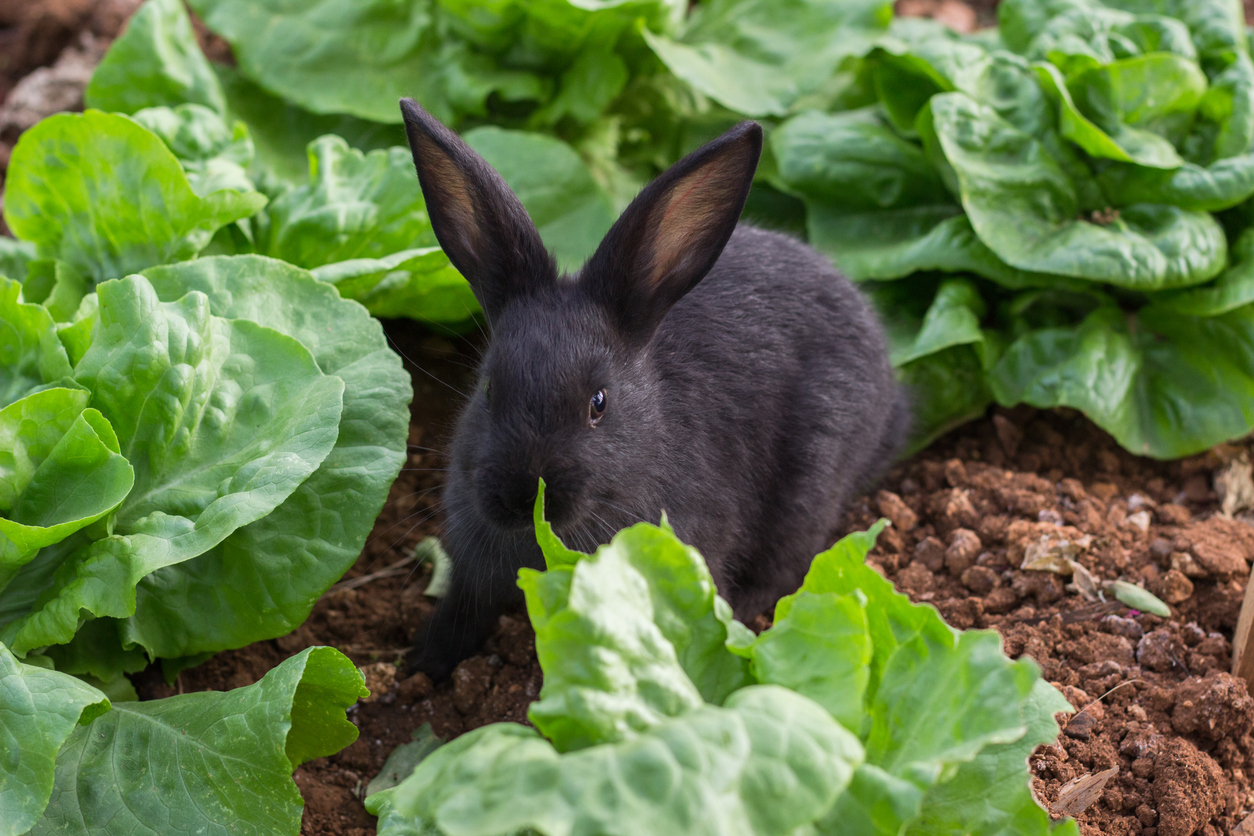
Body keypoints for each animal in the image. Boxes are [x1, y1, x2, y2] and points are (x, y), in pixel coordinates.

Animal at [406, 98, 907, 681]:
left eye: (598, 403)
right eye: (488, 389)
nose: (522, 497)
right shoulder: (472, 572)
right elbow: (461, 613)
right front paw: (422, 663)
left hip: (814, 478)